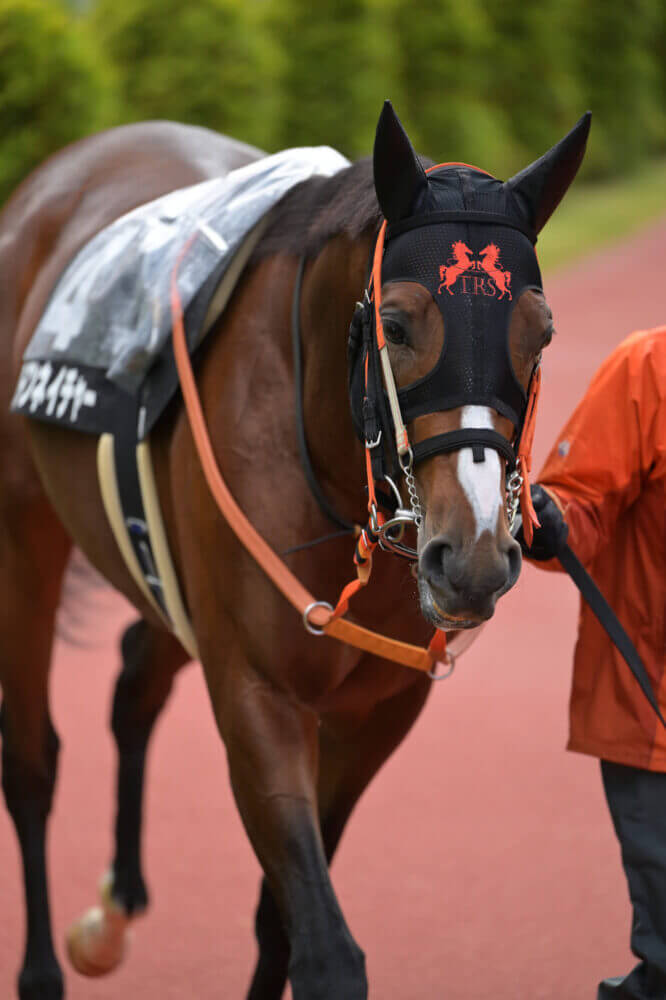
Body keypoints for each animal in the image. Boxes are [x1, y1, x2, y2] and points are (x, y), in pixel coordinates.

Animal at [0, 105, 588, 996]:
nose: (473, 555)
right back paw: (44, 965)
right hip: (25, 535)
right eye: (396, 325)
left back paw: (117, 902)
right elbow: (324, 951)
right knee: (32, 761)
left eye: (541, 333)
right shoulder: (257, 689)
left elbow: (279, 919)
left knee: (135, 679)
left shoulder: (379, 708)